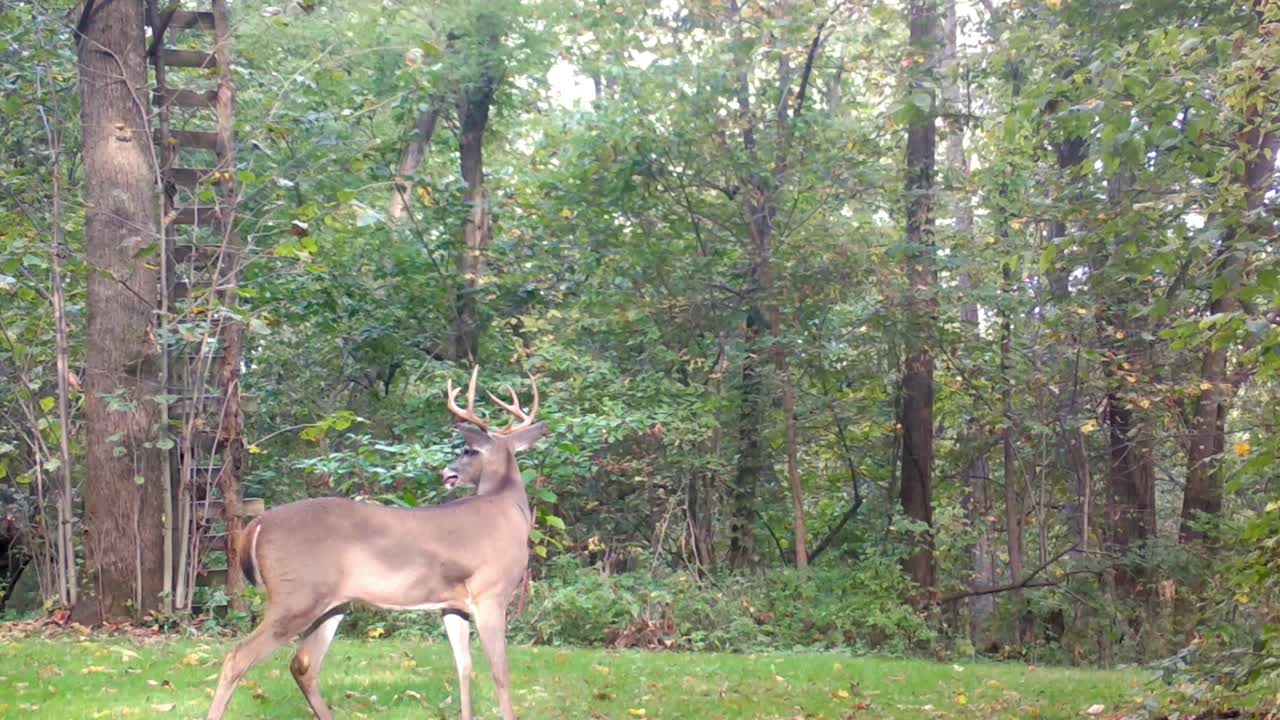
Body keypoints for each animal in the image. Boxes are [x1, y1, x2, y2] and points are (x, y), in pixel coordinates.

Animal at [206, 367, 546, 720]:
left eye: (468, 451)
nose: (447, 472)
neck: (506, 505)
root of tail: (255, 525)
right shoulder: (491, 592)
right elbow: (500, 672)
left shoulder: (453, 603)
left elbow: (464, 668)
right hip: (295, 596)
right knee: (237, 658)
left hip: (330, 604)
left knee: (303, 663)